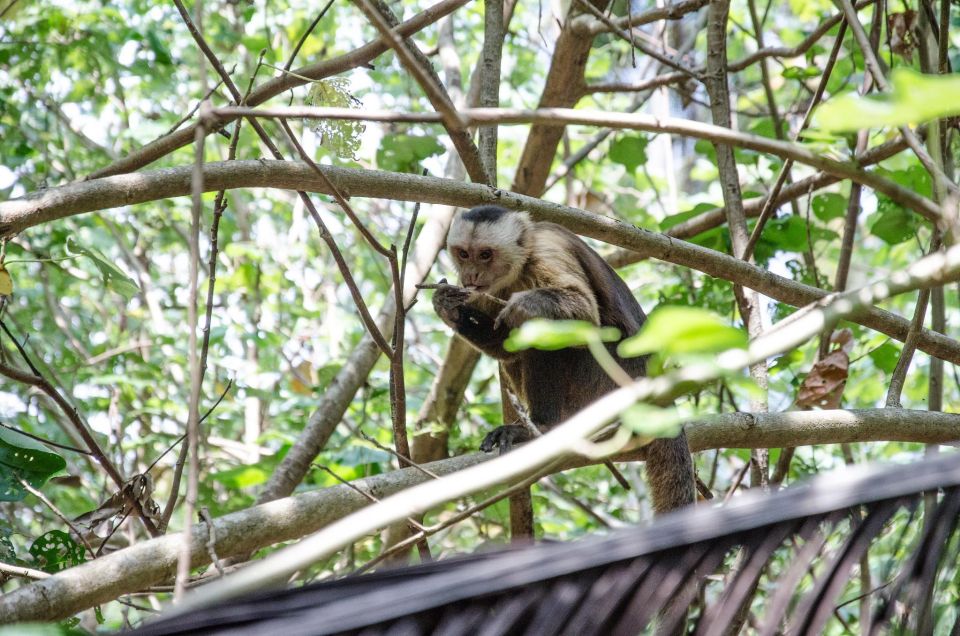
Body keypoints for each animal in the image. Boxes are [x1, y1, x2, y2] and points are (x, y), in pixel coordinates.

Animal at [432, 206, 692, 516]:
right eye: (463, 254)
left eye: (485, 254)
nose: (471, 272)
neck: (522, 264)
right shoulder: (483, 291)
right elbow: (506, 346)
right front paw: (448, 307)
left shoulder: (548, 251)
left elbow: (585, 314)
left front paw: (523, 304)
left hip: (607, 386)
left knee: (546, 336)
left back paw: (542, 427)